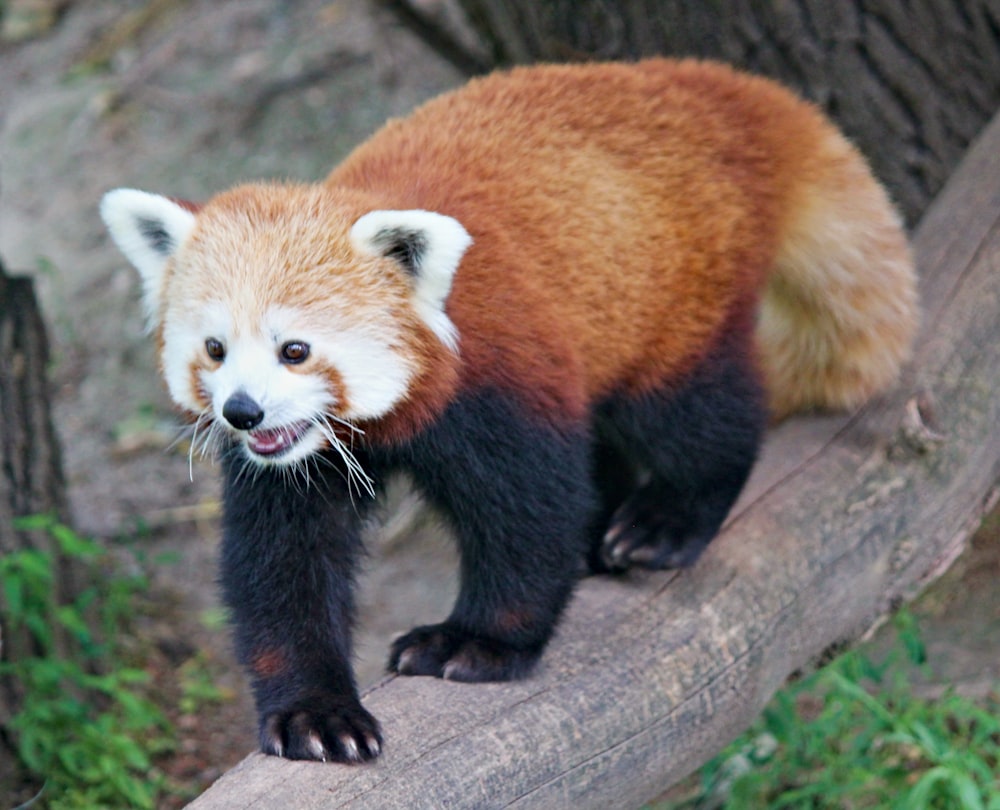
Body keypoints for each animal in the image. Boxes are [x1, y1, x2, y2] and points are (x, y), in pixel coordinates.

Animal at [97, 60, 916, 760]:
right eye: (214, 349)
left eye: (294, 350)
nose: (242, 413)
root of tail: (708, 87)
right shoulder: (297, 464)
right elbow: (281, 563)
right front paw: (315, 713)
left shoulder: (501, 379)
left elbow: (528, 511)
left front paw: (476, 642)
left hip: (674, 288)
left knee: (696, 412)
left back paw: (664, 521)